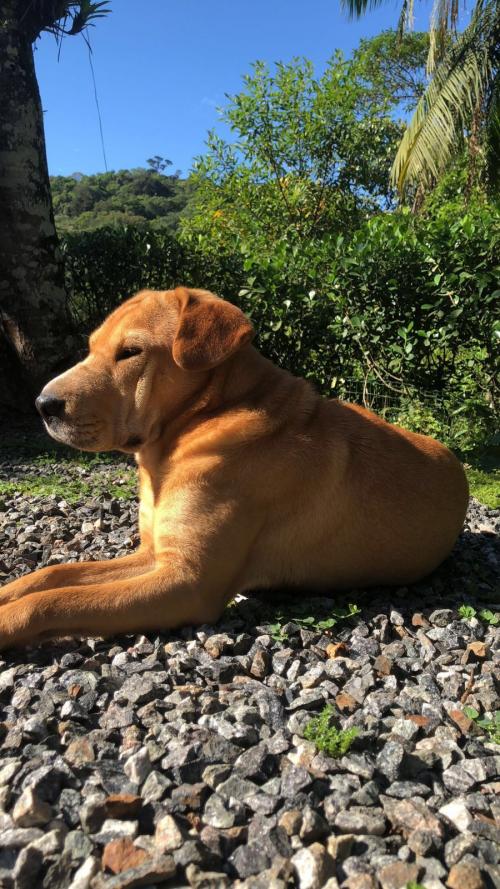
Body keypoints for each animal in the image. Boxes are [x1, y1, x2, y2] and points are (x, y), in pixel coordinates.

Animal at [0, 287, 469, 647]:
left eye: (130, 352)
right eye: (91, 348)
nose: (42, 405)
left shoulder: (188, 582)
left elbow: (56, 601)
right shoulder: (154, 553)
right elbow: (54, 574)